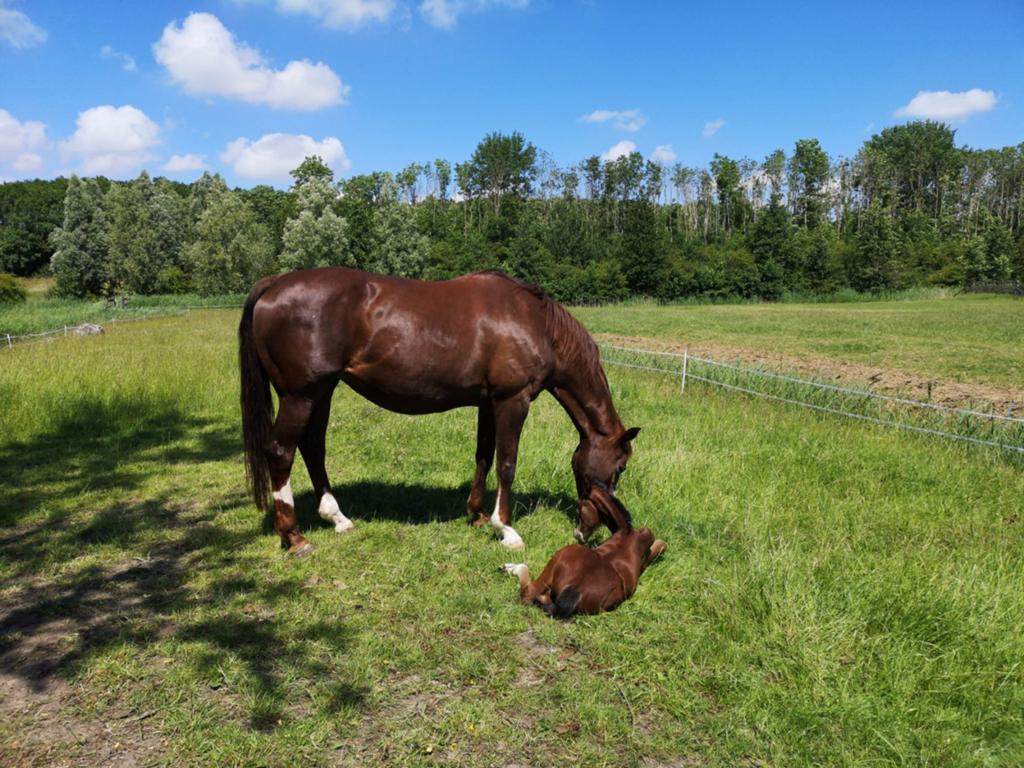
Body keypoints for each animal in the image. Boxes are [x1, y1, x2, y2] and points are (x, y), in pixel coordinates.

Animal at [239, 267, 639, 556]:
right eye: (620, 467)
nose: (588, 530)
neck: (536, 322)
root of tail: (275, 284)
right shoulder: (512, 400)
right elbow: (507, 464)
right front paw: (506, 529)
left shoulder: (488, 403)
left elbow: (484, 456)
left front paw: (478, 515)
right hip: (300, 395)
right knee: (281, 452)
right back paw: (294, 537)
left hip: (322, 392)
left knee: (313, 448)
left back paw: (337, 518)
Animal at [502, 483, 666, 618]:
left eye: (580, 508)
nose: (578, 534)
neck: (627, 532)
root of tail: (575, 588)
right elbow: (661, 544)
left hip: (558, 558)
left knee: (528, 592)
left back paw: (508, 567)